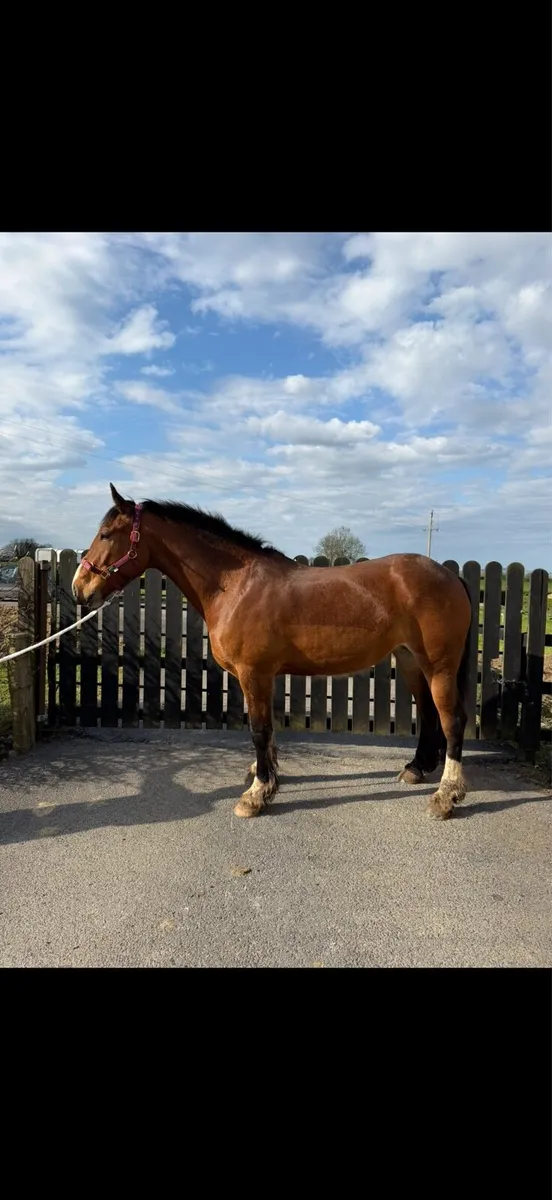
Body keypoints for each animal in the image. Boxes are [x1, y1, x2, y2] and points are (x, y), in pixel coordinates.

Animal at [72, 484, 473, 821]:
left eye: (106, 535)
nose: (79, 589)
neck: (236, 585)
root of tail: (448, 575)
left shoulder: (254, 673)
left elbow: (259, 730)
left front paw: (256, 794)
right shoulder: (260, 676)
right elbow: (267, 729)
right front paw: (266, 776)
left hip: (438, 666)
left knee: (452, 720)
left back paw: (446, 796)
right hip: (410, 660)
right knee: (429, 714)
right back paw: (416, 769)